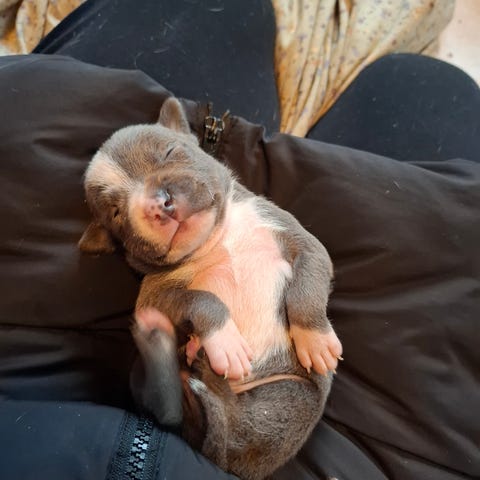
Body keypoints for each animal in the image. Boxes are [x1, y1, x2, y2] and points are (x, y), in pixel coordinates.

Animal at [79, 97, 343, 479]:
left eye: (170, 152)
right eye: (116, 213)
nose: (158, 204)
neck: (215, 240)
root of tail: (227, 462)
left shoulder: (303, 243)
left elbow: (307, 287)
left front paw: (316, 339)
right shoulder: (155, 296)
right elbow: (202, 299)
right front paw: (226, 342)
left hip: (288, 398)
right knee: (173, 409)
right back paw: (167, 342)